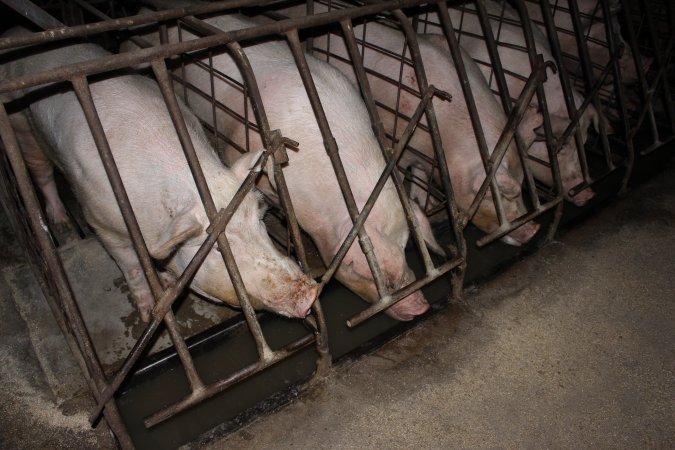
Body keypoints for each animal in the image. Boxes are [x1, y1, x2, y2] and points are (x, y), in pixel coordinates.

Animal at [0, 28, 318, 322]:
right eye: (217, 250)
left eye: (260, 222)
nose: (309, 293)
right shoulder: (100, 221)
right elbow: (130, 265)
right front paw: (146, 310)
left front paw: (165, 282)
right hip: (22, 127)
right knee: (41, 174)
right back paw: (61, 224)